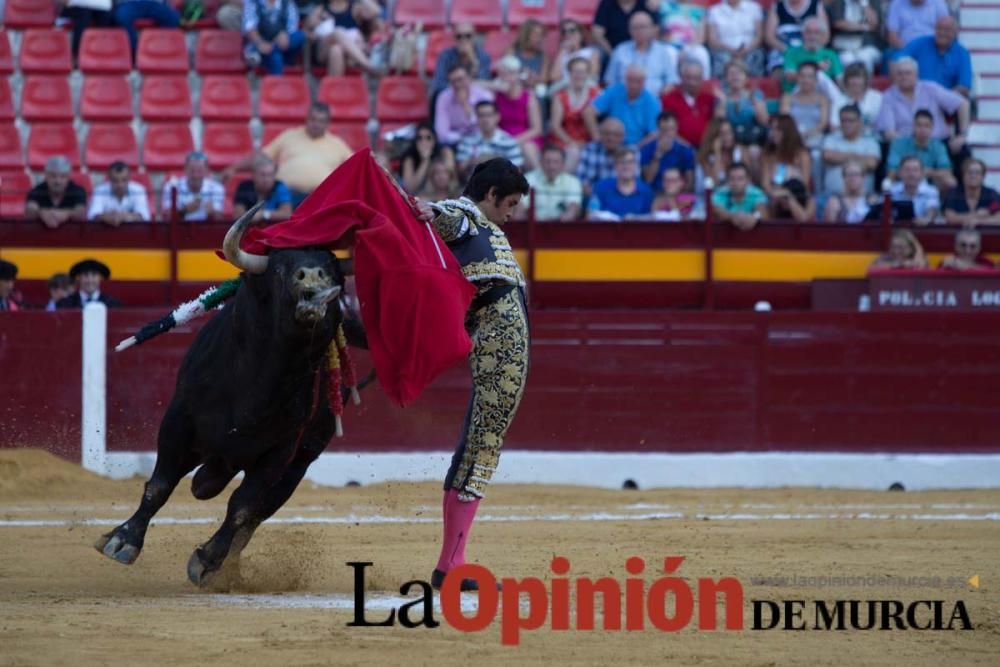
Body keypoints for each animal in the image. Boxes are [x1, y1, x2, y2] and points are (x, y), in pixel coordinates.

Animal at [94, 207, 366, 584]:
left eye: (333, 269)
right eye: (279, 269)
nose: (313, 277)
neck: (258, 385)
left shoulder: (282, 452)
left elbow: (242, 507)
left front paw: (207, 560)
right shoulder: (178, 422)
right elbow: (160, 484)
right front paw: (123, 540)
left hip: (300, 463)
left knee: (257, 512)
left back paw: (227, 565)